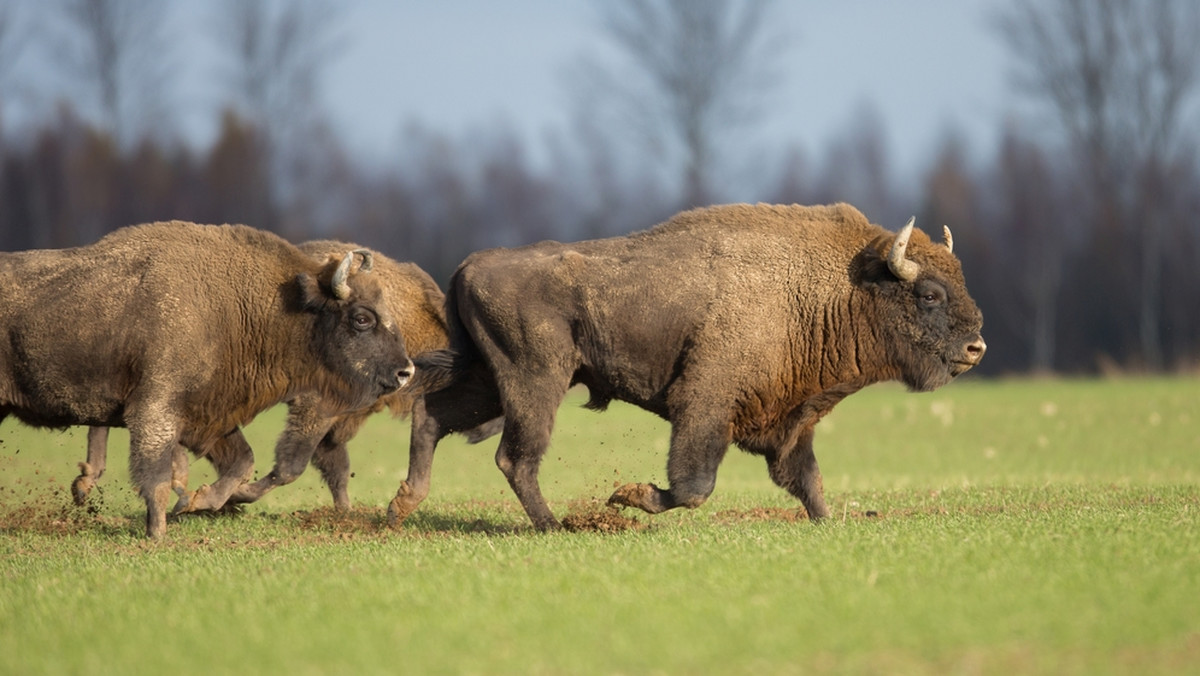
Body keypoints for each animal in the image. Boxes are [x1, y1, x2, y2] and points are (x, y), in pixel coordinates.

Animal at [1, 222, 412, 540]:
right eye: (362, 318)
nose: (405, 371)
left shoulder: (210, 415)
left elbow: (242, 462)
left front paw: (195, 502)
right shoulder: (156, 411)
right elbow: (155, 474)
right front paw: (159, 532)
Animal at [391, 204, 984, 530]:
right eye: (929, 294)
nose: (976, 347)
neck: (833, 286)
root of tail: (471, 265)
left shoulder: (793, 424)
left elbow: (807, 480)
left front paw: (829, 522)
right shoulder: (703, 405)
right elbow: (696, 484)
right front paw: (627, 495)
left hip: (491, 381)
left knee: (431, 415)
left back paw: (403, 504)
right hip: (535, 380)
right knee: (515, 458)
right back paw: (555, 527)